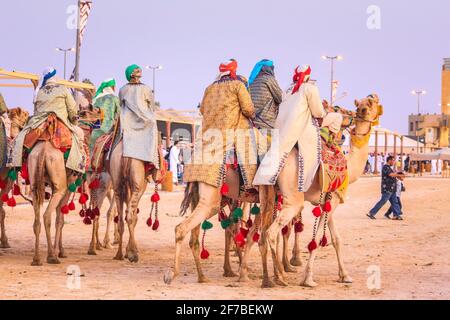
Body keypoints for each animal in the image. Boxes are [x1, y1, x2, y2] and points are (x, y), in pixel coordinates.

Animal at [239, 95, 384, 288]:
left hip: (266, 196)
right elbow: (316, 242)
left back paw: (254, 277)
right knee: (271, 233)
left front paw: (345, 275)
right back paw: (280, 277)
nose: (358, 111)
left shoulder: (328, 201)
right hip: (293, 199)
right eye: (367, 104)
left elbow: (336, 239)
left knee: (257, 235)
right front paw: (308, 279)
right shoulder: (332, 201)